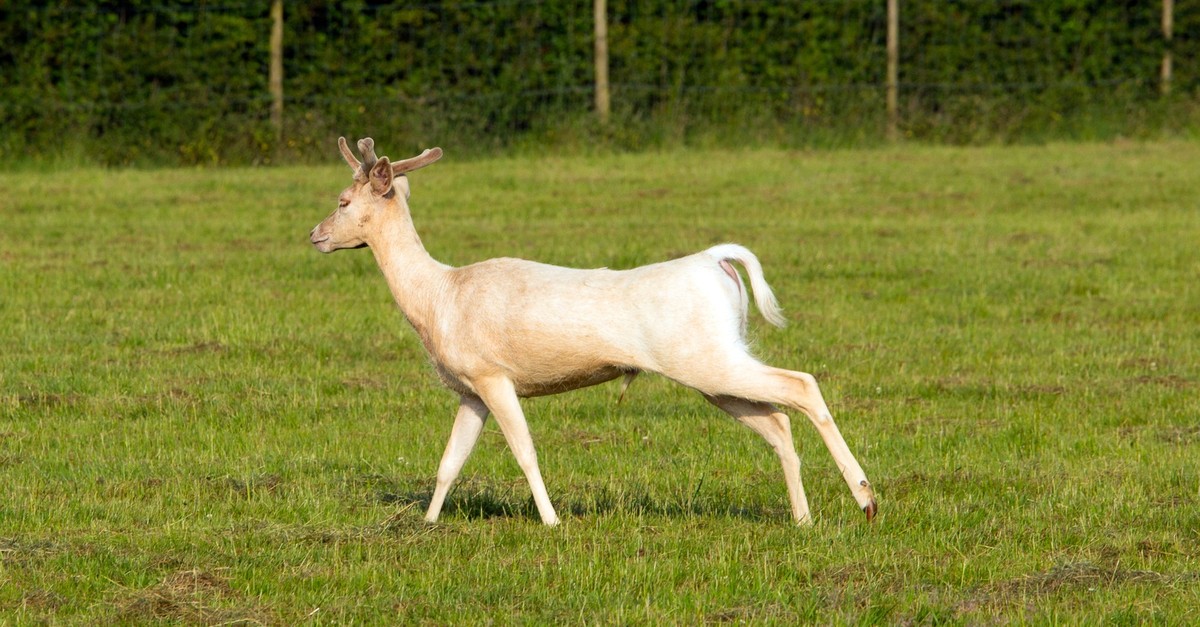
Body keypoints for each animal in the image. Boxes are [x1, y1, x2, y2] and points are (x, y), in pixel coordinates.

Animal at [309, 137, 877, 526]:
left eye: (341, 201)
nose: (314, 235)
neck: (439, 298)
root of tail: (717, 260)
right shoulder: (469, 388)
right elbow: (450, 460)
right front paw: (427, 522)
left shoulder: (493, 374)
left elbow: (525, 450)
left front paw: (551, 521)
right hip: (712, 367)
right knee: (778, 420)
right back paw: (803, 518)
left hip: (706, 355)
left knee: (802, 383)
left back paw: (866, 498)